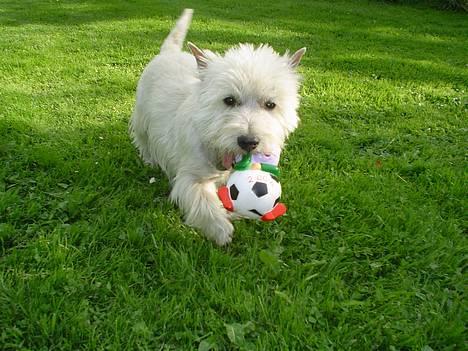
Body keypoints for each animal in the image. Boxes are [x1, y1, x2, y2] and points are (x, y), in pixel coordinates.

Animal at [129, 8, 304, 245]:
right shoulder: (190, 177)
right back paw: (149, 159)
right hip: (142, 118)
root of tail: (169, 52)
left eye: (270, 104)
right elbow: (203, 200)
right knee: (143, 139)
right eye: (229, 100)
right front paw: (220, 229)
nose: (249, 142)